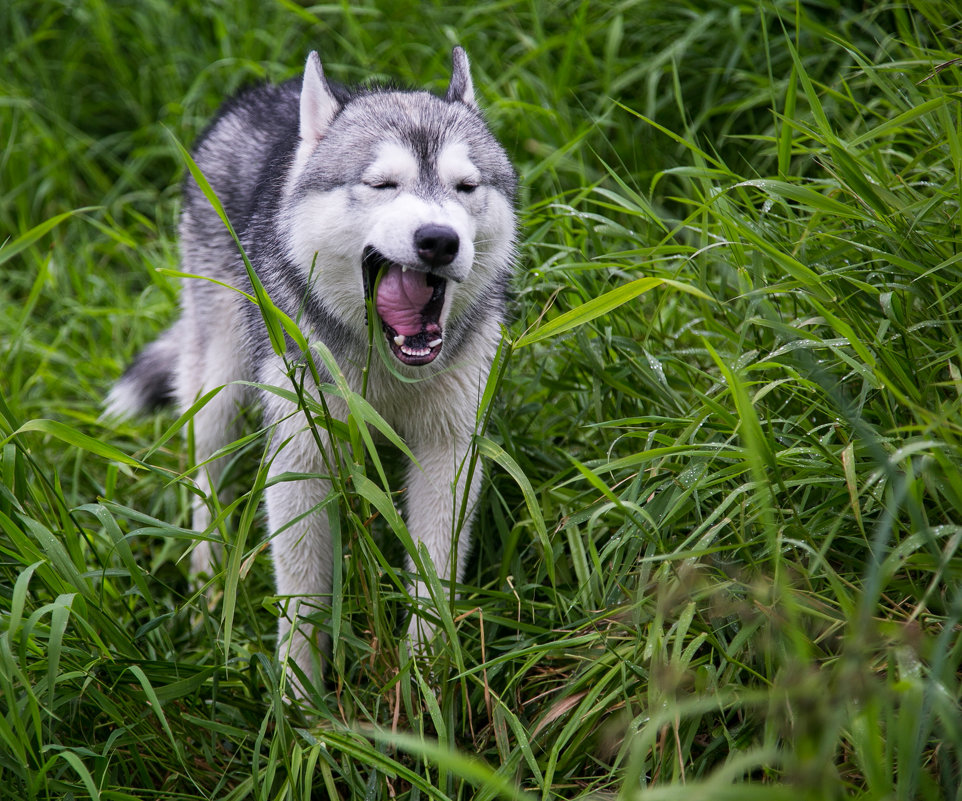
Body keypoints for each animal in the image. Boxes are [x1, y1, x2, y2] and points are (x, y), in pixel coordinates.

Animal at [107, 48, 516, 692]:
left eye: (466, 186)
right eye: (381, 184)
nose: (438, 240)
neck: (382, 367)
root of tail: (262, 94)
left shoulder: (450, 451)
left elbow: (433, 577)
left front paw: (424, 684)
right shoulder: (301, 454)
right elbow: (301, 594)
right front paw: (298, 699)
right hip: (218, 389)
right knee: (207, 486)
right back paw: (206, 592)